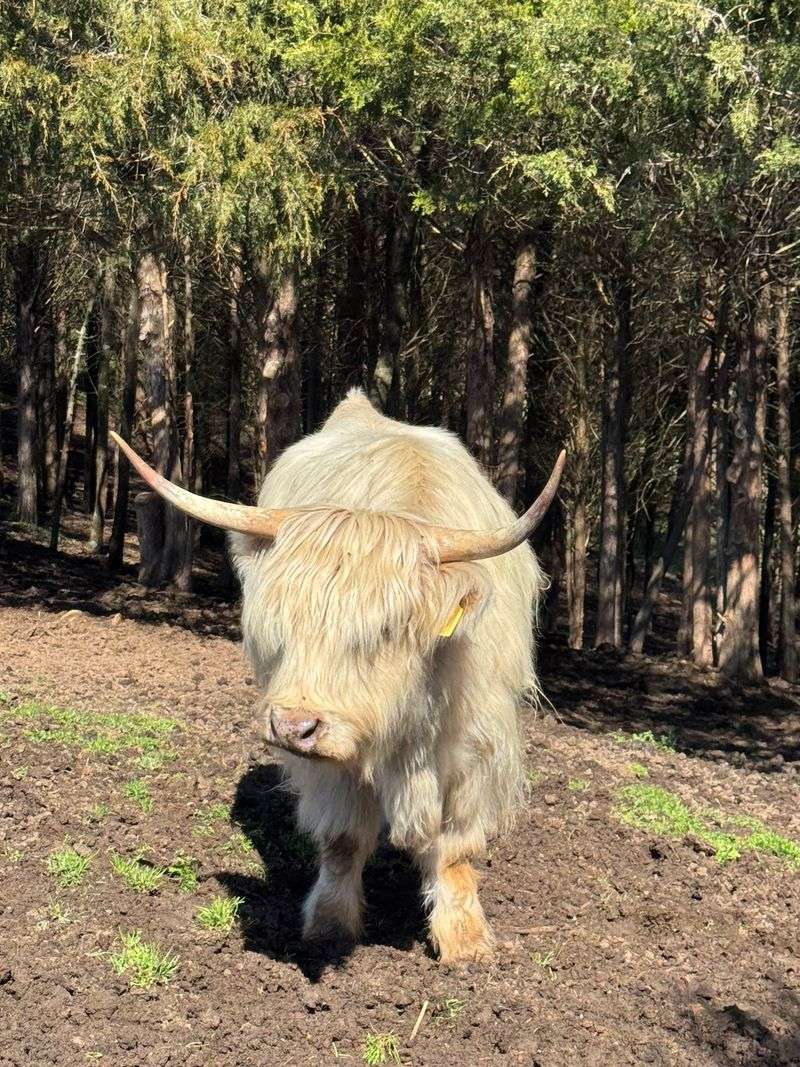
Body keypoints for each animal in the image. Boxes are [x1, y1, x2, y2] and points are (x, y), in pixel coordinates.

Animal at [112, 389, 564, 963]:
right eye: (281, 618)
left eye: (385, 628)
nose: (292, 726)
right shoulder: (332, 758)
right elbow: (344, 839)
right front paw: (329, 927)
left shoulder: (478, 745)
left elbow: (456, 849)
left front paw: (466, 943)